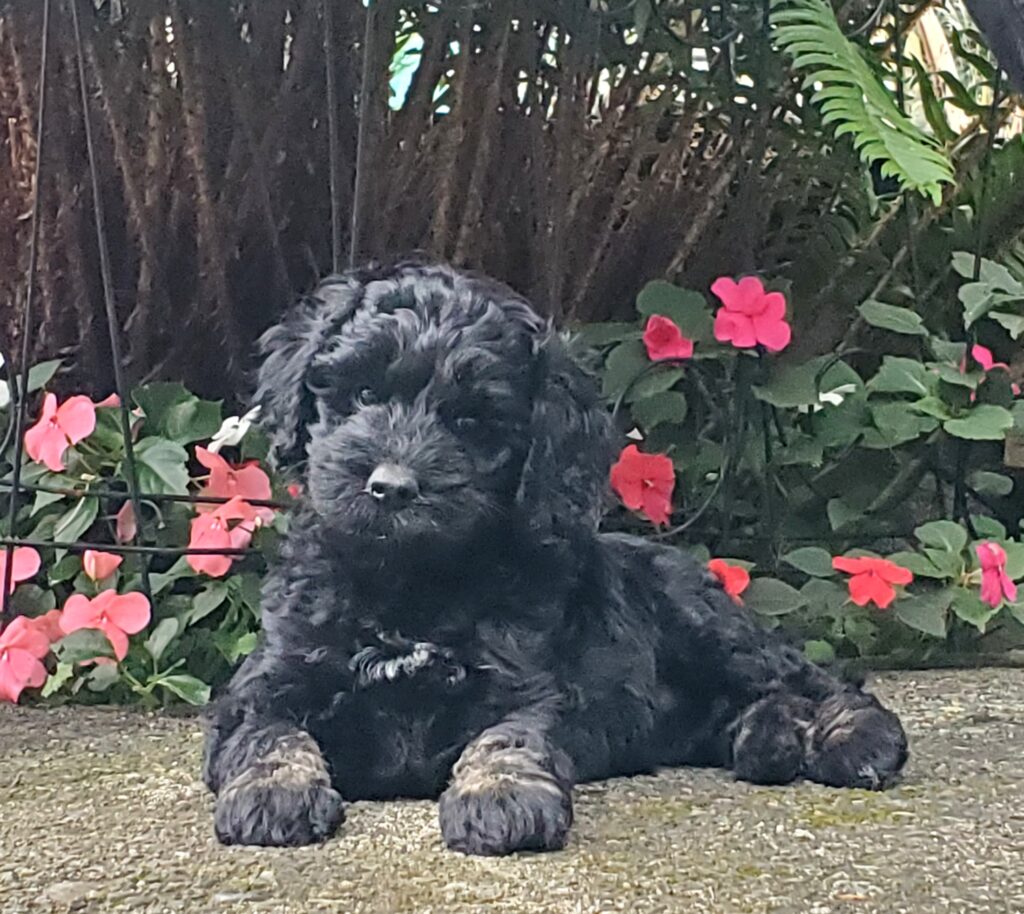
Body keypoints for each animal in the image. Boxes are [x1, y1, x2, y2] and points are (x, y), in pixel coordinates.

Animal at [203, 258, 909, 855]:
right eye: (364, 393)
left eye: (470, 422)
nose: (393, 486)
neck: (410, 583)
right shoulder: (266, 681)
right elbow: (267, 731)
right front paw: (272, 790)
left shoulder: (524, 682)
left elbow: (511, 735)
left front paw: (501, 796)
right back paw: (766, 739)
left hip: (705, 622)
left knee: (816, 680)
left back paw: (854, 739)